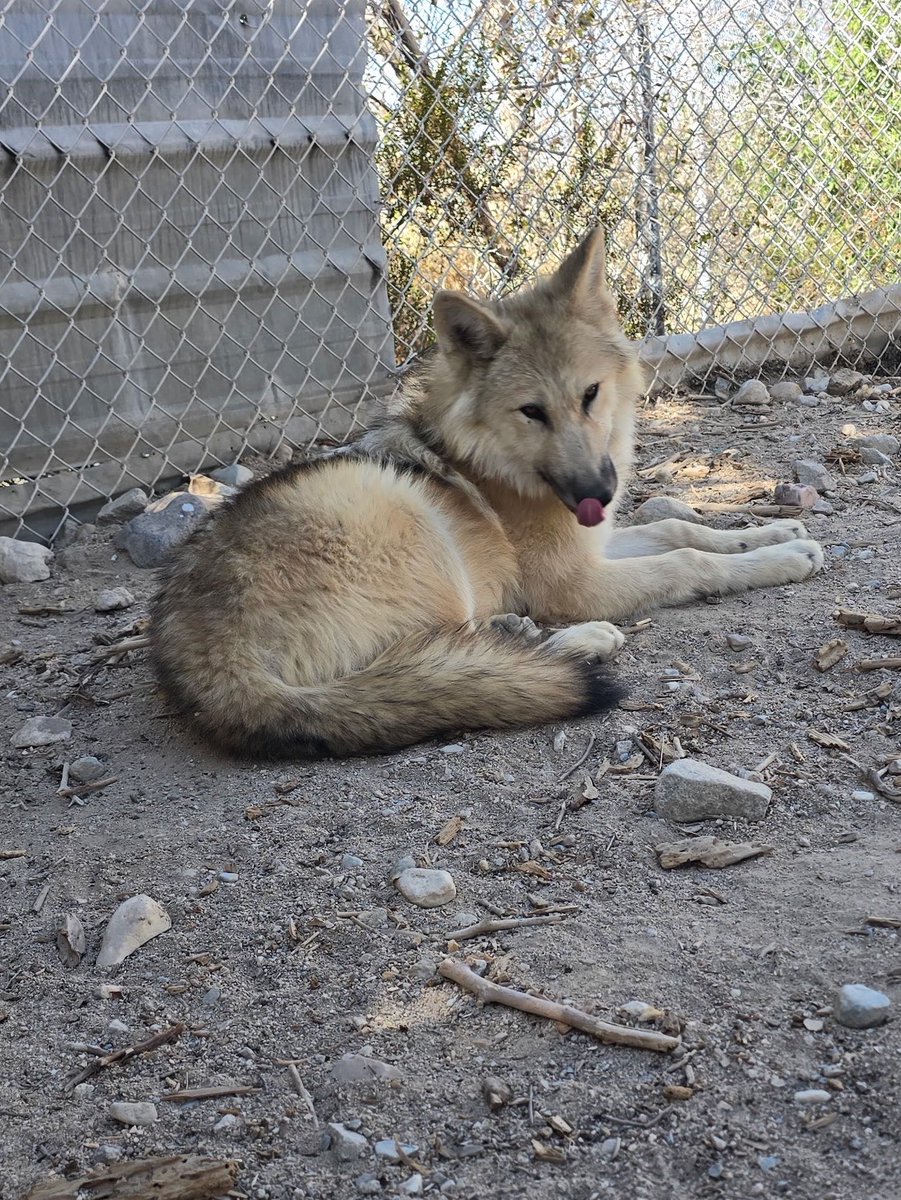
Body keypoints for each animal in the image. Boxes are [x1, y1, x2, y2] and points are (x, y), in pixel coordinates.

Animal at [149, 228, 824, 757]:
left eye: (590, 394)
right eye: (532, 411)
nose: (599, 491)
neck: (492, 467)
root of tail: (199, 657)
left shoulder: (595, 547)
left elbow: (679, 528)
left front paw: (774, 532)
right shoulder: (572, 583)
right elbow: (688, 560)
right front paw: (781, 558)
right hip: (404, 514)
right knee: (445, 659)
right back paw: (580, 645)